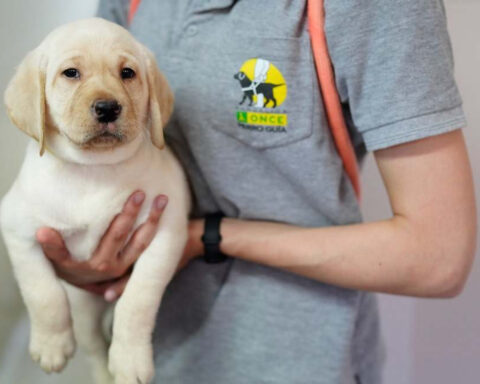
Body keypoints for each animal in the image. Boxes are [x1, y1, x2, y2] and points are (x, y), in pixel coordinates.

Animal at [0, 18, 191, 384]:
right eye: (71, 73)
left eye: (127, 73)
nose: (107, 107)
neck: (93, 170)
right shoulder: (17, 229)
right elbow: (43, 292)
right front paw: (51, 345)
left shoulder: (165, 233)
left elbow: (138, 301)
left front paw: (130, 359)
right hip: (84, 309)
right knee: (94, 347)